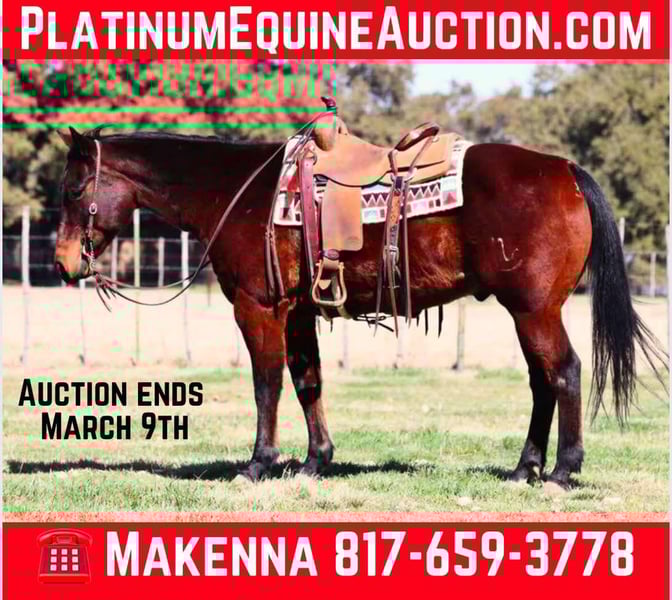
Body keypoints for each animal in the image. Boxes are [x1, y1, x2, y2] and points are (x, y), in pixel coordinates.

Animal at [53, 125, 666, 489]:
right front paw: (313, 461)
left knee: (563, 373)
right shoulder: (299, 312)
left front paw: (258, 463)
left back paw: (562, 470)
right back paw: (524, 468)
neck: (236, 192)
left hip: (534, 310)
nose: (62, 263)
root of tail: (564, 170)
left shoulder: (258, 308)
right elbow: (308, 382)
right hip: (527, 313)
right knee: (543, 382)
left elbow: (267, 385)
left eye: (72, 190)